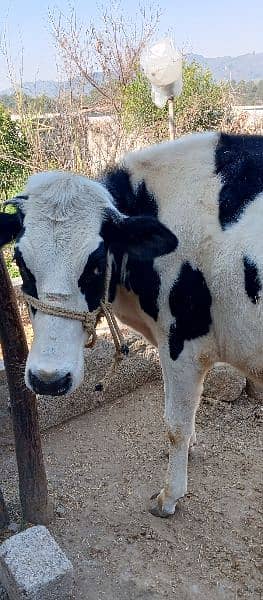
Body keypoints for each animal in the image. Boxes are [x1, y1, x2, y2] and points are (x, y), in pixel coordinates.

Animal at [0, 132, 263, 516]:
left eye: (95, 264)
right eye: (20, 261)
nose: (48, 380)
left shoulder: (184, 345)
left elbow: (175, 424)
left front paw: (169, 496)